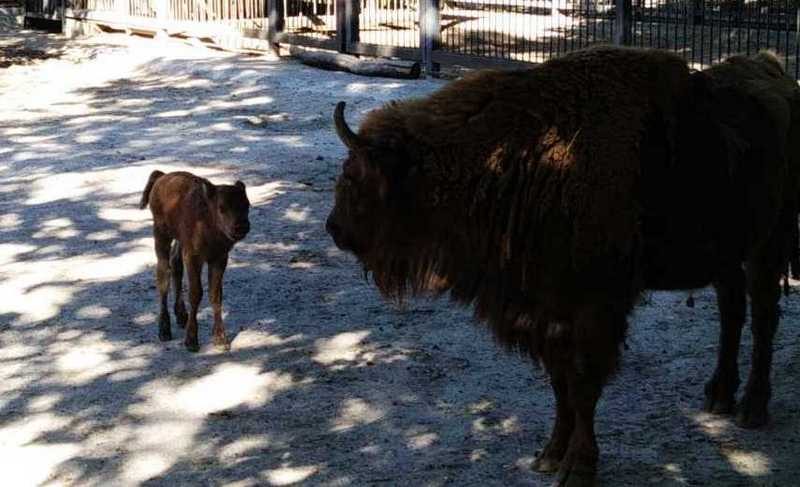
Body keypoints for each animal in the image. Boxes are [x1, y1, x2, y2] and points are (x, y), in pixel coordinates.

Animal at [139, 171, 248, 350]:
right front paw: (191, 341)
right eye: (221, 208)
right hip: (161, 235)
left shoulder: (219, 258)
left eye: (246, 205)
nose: (241, 227)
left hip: (178, 241)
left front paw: (221, 339)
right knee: (163, 276)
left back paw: (181, 316)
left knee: (175, 265)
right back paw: (164, 331)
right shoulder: (193, 257)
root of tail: (161, 177)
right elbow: (196, 293)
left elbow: (215, 294)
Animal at [324, 46, 800, 487]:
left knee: (763, 318)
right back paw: (718, 395)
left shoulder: (594, 309)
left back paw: (752, 408)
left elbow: (584, 386)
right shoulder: (546, 310)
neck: (513, 157)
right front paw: (550, 454)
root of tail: (775, 71)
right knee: (731, 312)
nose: (334, 229)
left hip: (769, 244)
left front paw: (578, 467)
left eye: (352, 176)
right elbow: (560, 385)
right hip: (726, 255)